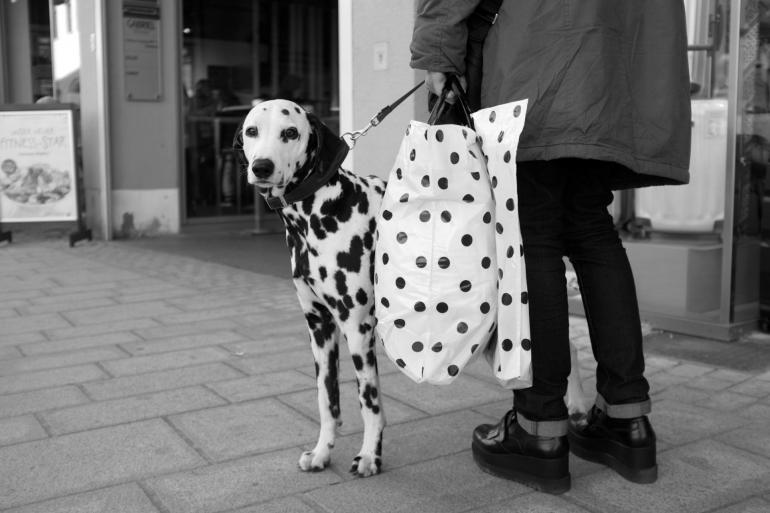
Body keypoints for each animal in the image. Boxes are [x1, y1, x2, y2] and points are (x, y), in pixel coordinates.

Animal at [234, 100, 388, 476]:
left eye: (290, 132)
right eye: (251, 131)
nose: (262, 166)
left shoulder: (357, 328)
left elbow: (369, 402)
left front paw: (369, 456)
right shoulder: (319, 327)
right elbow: (326, 399)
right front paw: (321, 452)